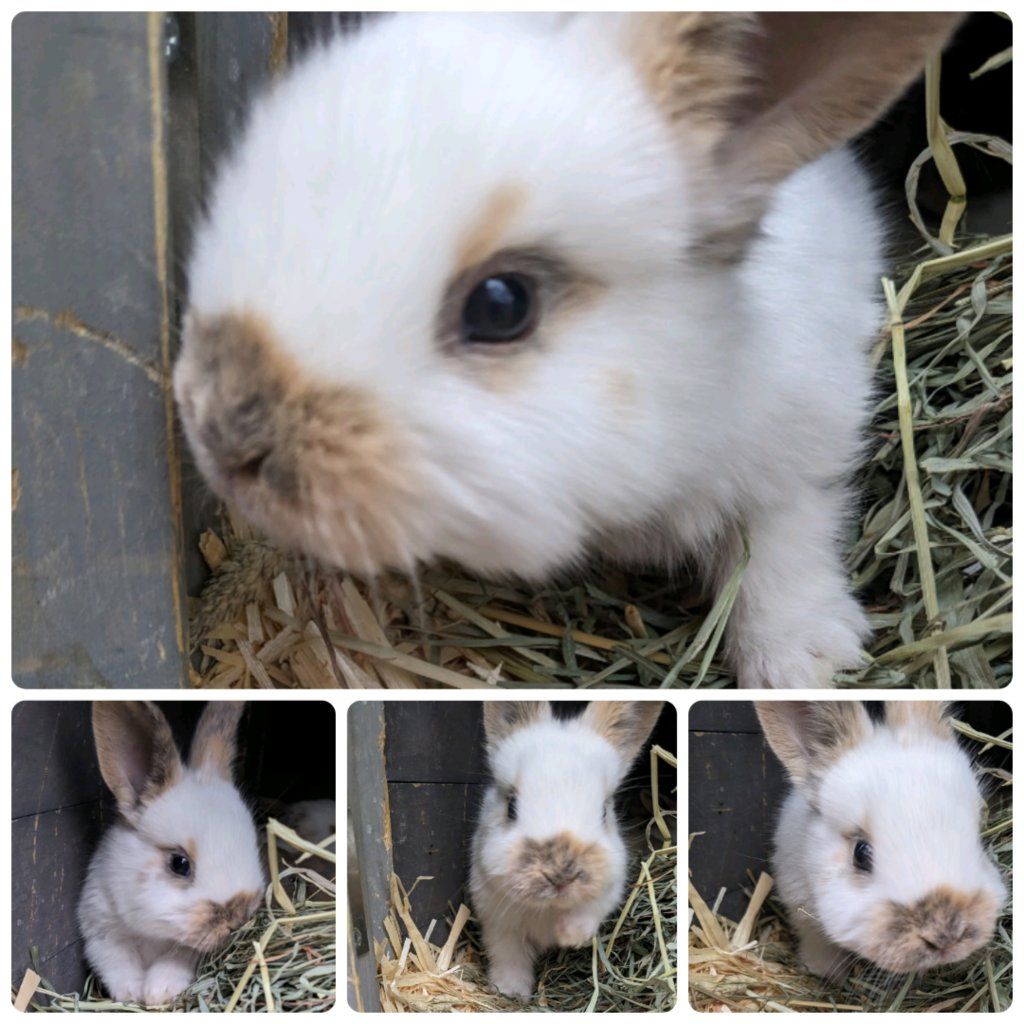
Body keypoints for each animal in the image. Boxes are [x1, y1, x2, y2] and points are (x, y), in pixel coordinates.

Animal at [78, 702, 266, 1006]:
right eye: (179, 864)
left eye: (253, 842)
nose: (236, 918)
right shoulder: (101, 929)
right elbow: (116, 963)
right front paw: (132, 994)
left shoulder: (186, 951)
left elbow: (177, 958)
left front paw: (158, 991)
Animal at [469, 700, 664, 999]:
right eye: (511, 806)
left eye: (604, 812)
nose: (560, 875)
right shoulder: (498, 920)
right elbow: (509, 957)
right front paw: (512, 992)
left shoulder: (607, 891)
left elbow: (586, 915)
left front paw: (569, 938)